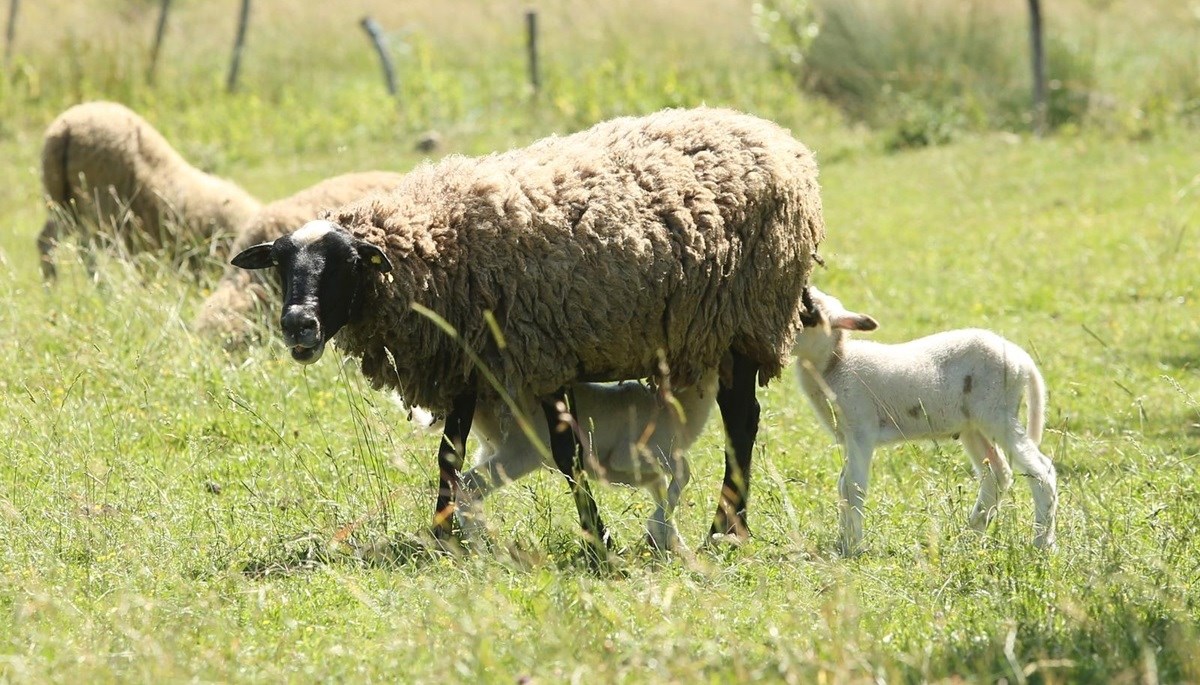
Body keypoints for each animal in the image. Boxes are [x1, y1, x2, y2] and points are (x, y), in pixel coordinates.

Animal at [231, 106, 825, 556]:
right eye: (281, 264)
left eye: (347, 263)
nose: (298, 324)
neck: (434, 253)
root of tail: (775, 135)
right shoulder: (466, 364)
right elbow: (449, 453)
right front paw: (442, 534)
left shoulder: (543, 355)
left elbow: (567, 455)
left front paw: (599, 539)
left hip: (745, 321)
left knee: (741, 423)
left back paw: (726, 529)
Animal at [796, 286, 1060, 554]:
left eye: (808, 315)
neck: (835, 364)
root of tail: (1023, 360)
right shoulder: (849, 435)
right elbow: (843, 485)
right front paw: (842, 542)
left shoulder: (862, 429)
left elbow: (854, 487)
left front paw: (853, 546)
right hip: (973, 426)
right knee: (998, 474)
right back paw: (971, 536)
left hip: (998, 413)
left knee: (1041, 471)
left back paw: (1042, 543)